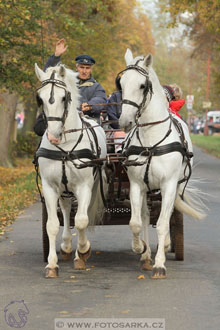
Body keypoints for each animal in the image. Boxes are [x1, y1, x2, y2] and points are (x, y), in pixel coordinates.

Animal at [34, 63, 107, 278]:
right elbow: (51, 225)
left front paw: (82, 252)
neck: (65, 147)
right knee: (66, 209)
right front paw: (52, 265)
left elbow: (81, 220)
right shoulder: (50, 187)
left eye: (64, 98)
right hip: (64, 189)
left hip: (92, 185)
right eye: (40, 98)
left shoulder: (84, 186)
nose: (53, 135)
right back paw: (66, 246)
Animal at [117, 49, 205, 278]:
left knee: (169, 214)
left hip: (176, 187)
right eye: (121, 83)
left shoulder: (169, 185)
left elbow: (164, 223)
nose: (124, 122)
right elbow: (136, 222)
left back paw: (163, 248)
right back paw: (147, 255)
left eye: (142, 85)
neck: (151, 140)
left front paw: (160, 263)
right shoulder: (136, 185)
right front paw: (140, 248)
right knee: (146, 216)